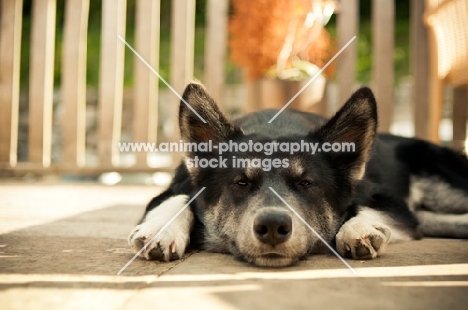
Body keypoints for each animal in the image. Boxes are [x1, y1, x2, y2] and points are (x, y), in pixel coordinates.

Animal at [128, 83, 468, 268]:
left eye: (306, 184)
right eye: (241, 182)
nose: (273, 227)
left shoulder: (390, 204)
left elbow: (368, 209)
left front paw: (357, 228)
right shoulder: (175, 187)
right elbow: (176, 200)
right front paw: (161, 229)